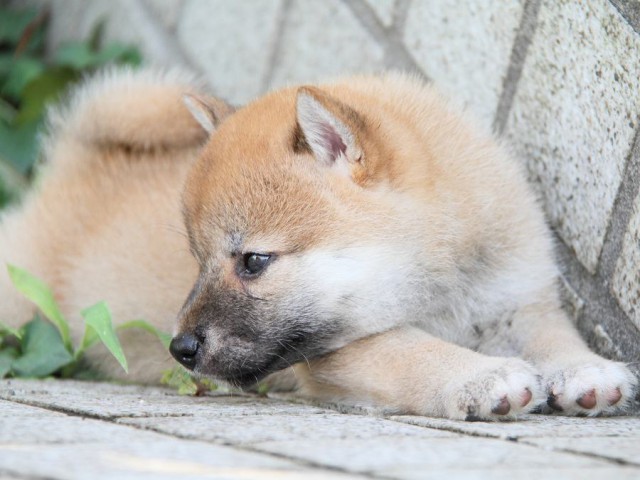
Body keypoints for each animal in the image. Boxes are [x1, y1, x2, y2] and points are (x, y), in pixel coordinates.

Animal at [0, 68, 636, 420]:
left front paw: (586, 372)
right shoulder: (333, 354)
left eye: (253, 261)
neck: (446, 288)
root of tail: (73, 165)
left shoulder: (518, 299)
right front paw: (483, 377)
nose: (180, 348)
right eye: (198, 261)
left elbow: (555, 335)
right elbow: (415, 351)